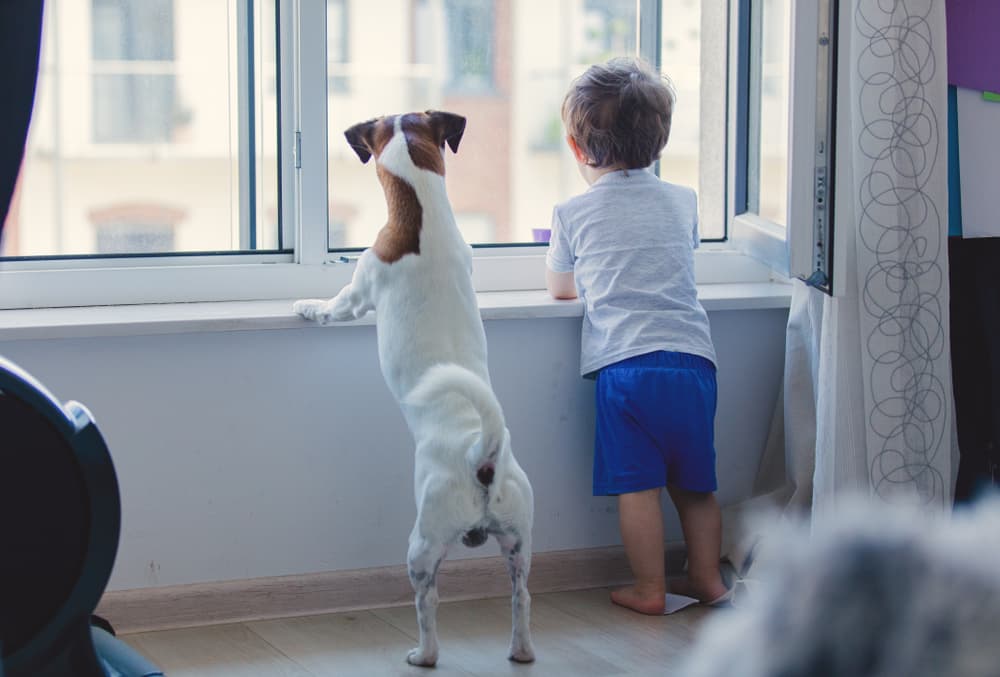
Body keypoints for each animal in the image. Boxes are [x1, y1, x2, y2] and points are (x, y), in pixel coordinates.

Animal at [292, 111, 536, 664]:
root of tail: (483, 455)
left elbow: (333, 306)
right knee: (522, 597)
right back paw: (521, 650)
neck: (424, 219)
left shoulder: (358, 291)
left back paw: (424, 655)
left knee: (429, 604)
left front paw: (306, 307)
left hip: (423, 544)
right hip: (519, 540)